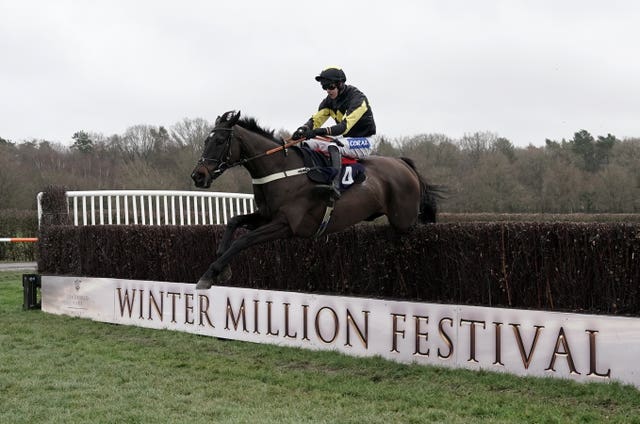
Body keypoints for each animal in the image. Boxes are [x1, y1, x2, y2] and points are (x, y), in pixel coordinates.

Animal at [190, 109, 440, 290]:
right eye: (205, 141)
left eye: (220, 140)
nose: (198, 175)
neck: (281, 169)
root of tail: (403, 163)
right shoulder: (266, 216)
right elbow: (234, 221)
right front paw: (222, 268)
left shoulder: (286, 225)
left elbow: (243, 240)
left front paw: (209, 274)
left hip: (404, 219)